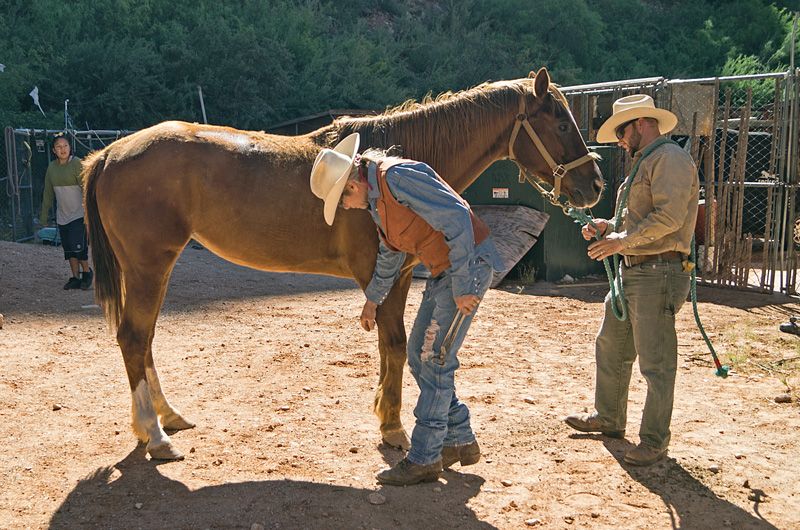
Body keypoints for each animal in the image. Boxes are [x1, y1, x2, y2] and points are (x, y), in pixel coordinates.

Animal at [84, 68, 604, 458]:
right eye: (561, 123)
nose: (595, 185)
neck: (388, 166)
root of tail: (110, 152)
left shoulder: (396, 275)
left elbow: (393, 347)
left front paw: (387, 416)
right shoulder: (384, 274)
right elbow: (393, 345)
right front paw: (393, 428)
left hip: (152, 270)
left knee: (144, 340)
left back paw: (167, 418)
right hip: (150, 267)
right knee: (134, 338)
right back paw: (155, 436)